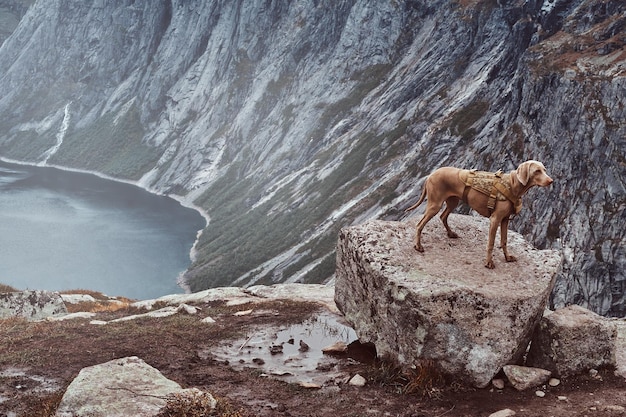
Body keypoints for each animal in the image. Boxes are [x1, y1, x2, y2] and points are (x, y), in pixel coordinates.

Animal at [404, 161, 552, 268]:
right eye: (537, 171)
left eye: (544, 170)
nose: (551, 181)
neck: (512, 184)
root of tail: (431, 175)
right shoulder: (495, 219)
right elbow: (491, 243)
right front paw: (489, 263)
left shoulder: (505, 220)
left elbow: (504, 241)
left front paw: (507, 257)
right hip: (435, 204)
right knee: (419, 225)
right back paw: (418, 246)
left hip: (453, 202)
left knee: (443, 216)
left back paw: (451, 233)